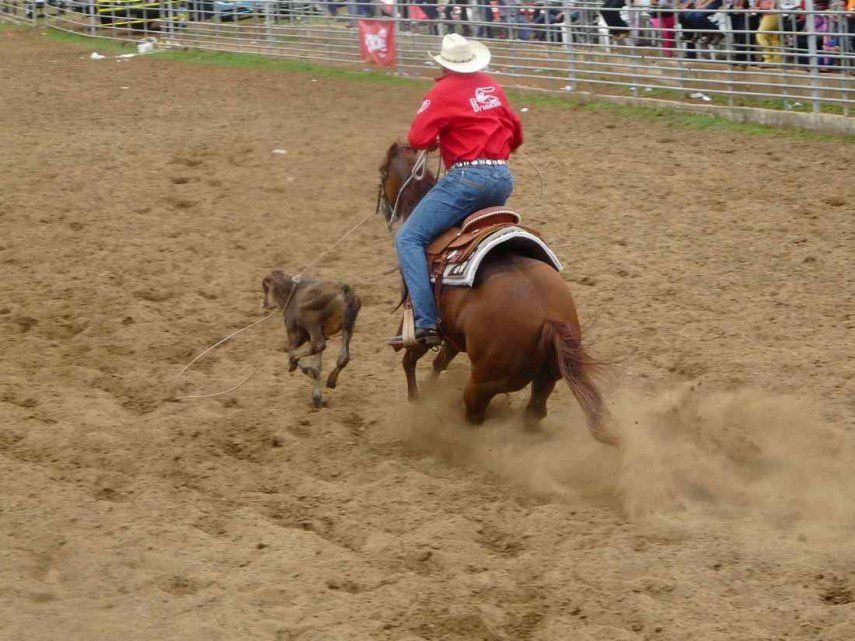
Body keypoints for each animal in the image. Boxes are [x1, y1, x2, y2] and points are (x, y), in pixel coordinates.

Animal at [264, 268, 364, 408]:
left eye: (265, 287)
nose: (265, 304)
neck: (292, 294)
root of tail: (343, 290)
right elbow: (317, 364)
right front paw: (317, 397)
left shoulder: (293, 333)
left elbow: (292, 352)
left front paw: (299, 367)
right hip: (348, 325)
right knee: (343, 357)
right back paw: (331, 381)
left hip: (311, 321)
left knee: (318, 345)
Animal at [380, 144, 616, 444]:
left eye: (382, 171)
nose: (386, 210)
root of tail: (548, 319)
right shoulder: (454, 334)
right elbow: (438, 362)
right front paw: (429, 391)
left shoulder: (424, 322)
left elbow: (410, 359)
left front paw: (416, 402)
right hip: (547, 377)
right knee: (534, 413)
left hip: (485, 382)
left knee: (474, 414)